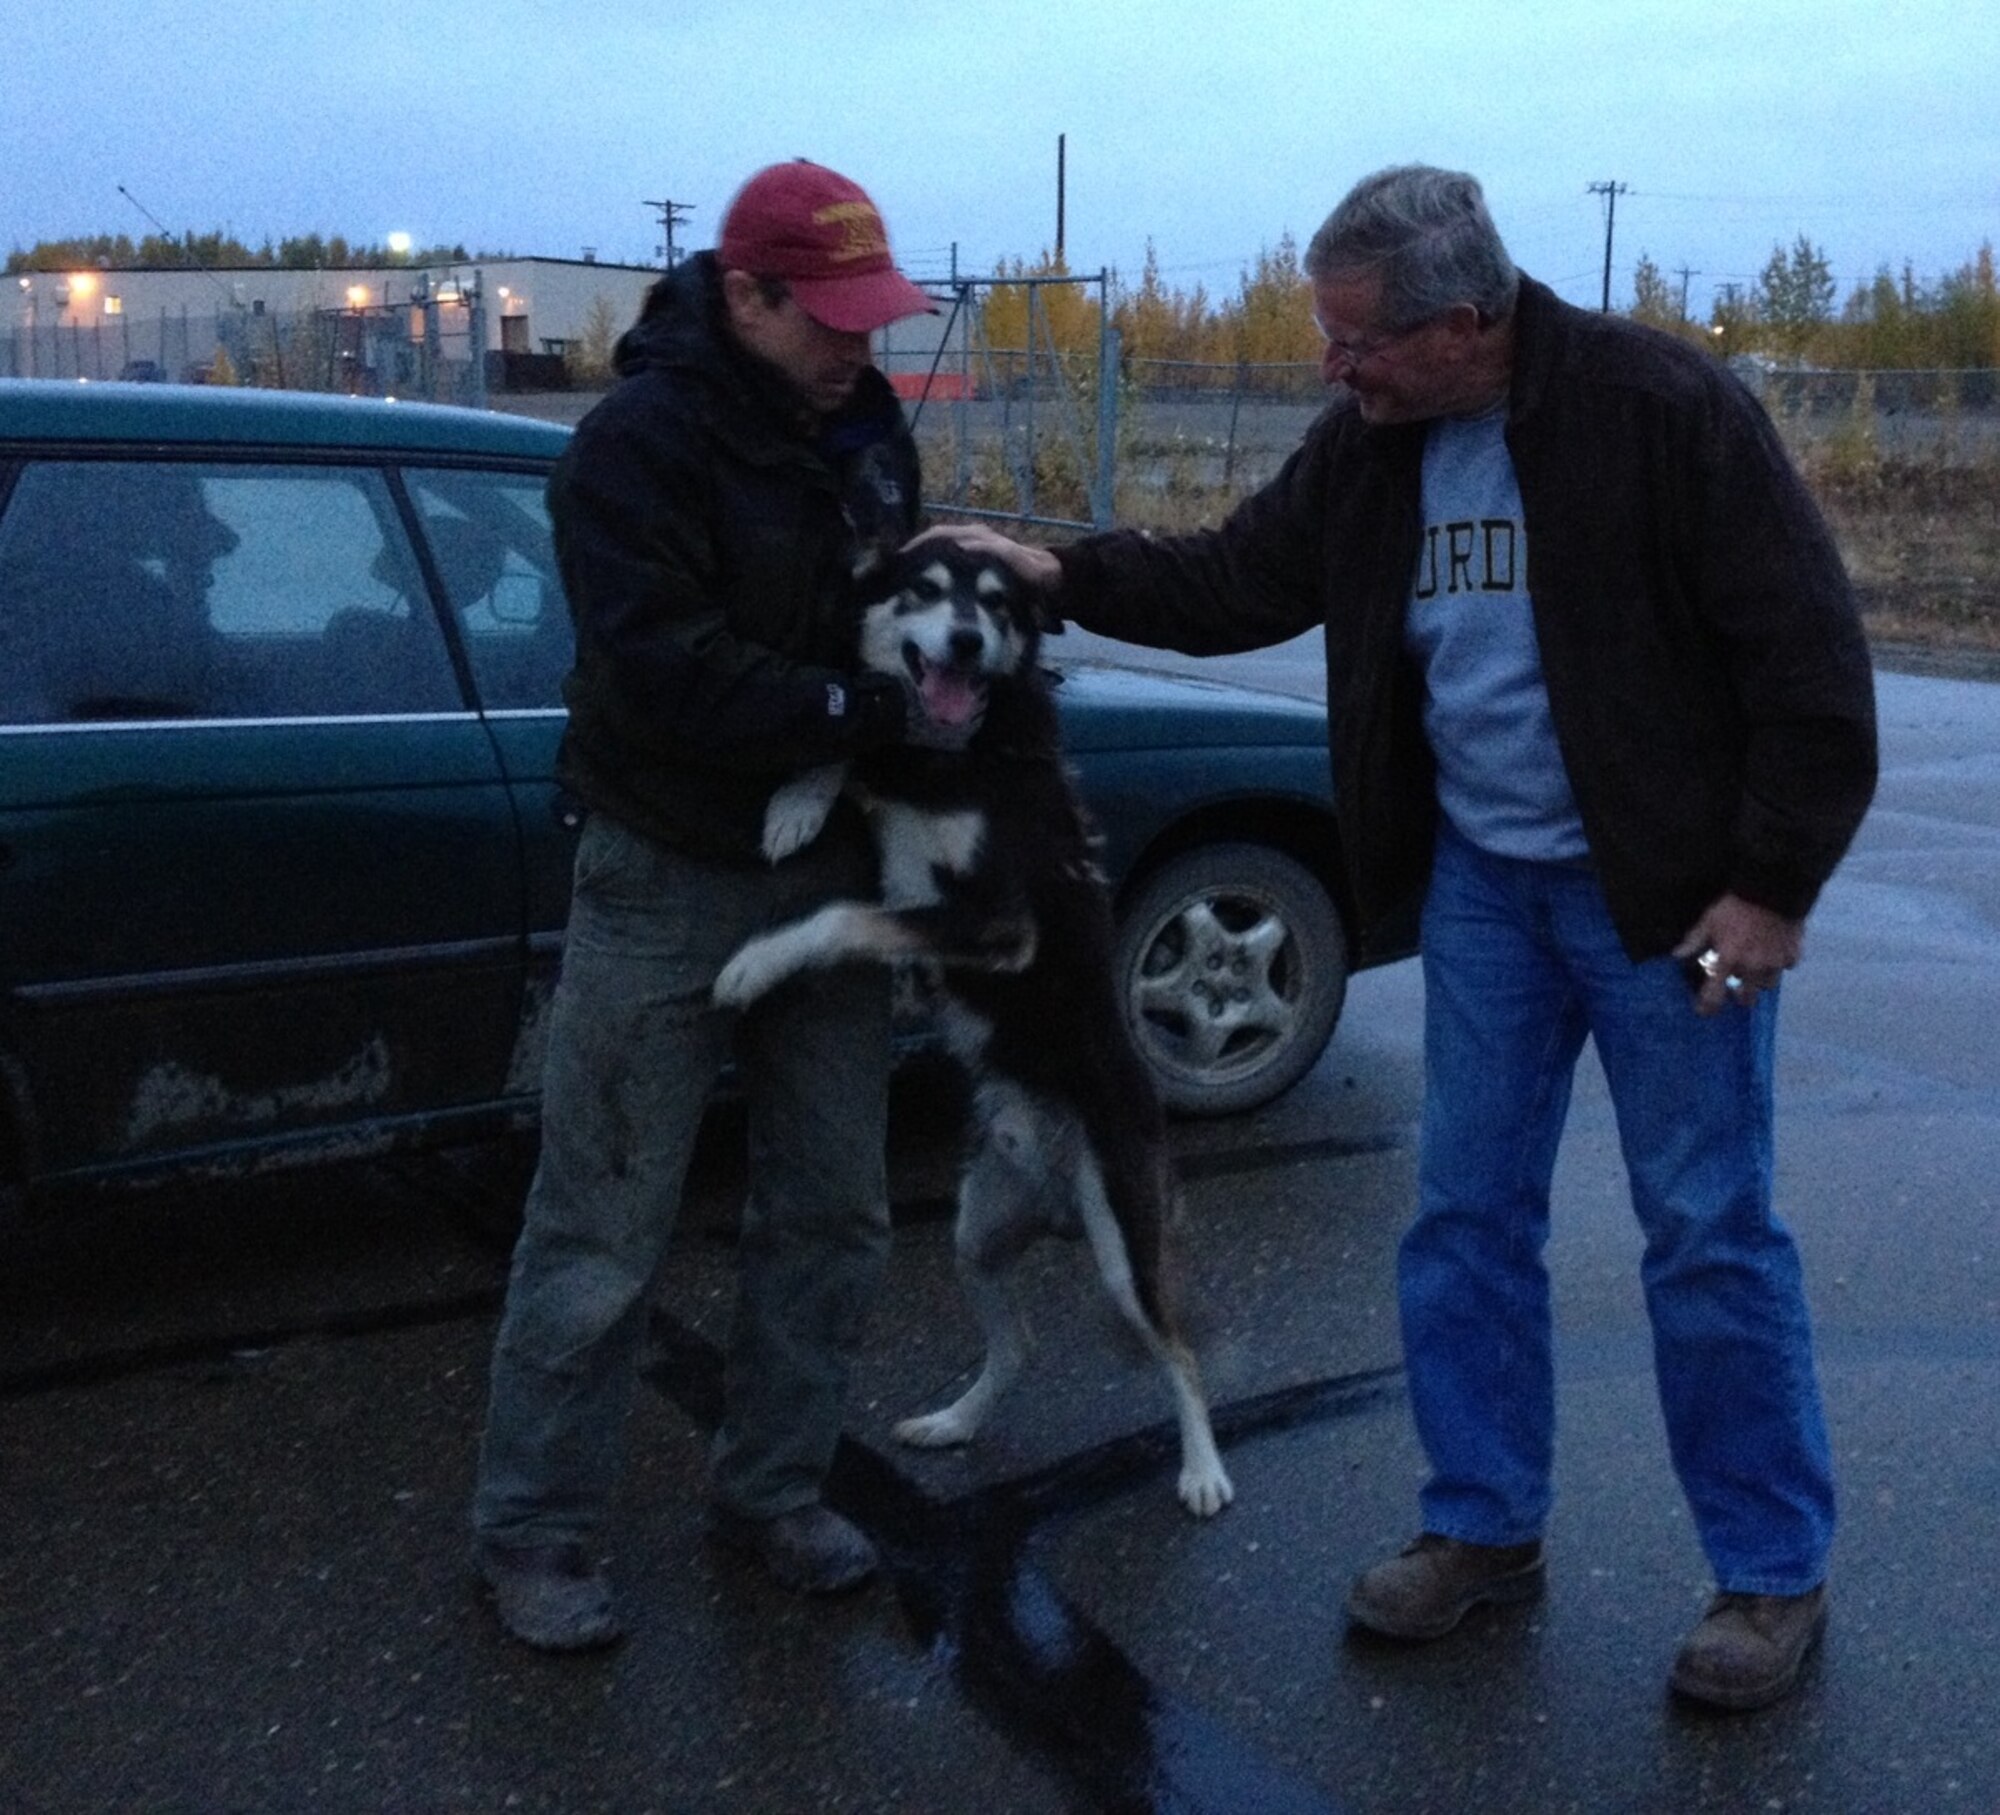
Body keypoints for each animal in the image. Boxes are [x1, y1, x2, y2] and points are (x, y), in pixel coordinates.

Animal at [712, 539, 1224, 1519]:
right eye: (926, 589)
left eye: (997, 604)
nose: (963, 640)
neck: (970, 750)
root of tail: (1058, 1185)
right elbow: (862, 749)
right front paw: (799, 798)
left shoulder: (996, 924)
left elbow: (838, 914)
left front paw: (756, 962)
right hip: (978, 1231)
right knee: (1018, 1344)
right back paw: (954, 1422)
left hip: (1122, 1247)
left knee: (1179, 1350)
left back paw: (1203, 1468)